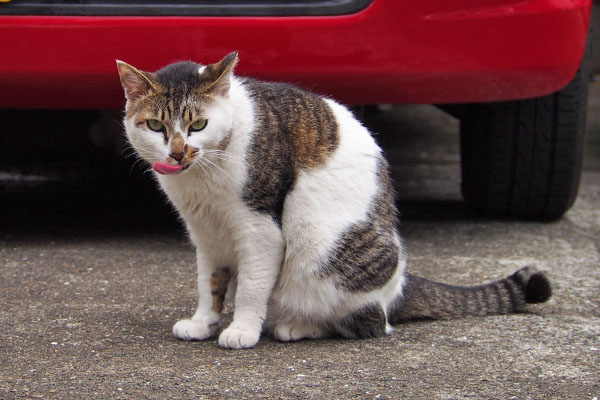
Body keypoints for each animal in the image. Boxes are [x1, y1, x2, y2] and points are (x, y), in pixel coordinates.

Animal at [115, 51, 552, 348]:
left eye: (198, 124)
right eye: (155, 125)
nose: (177, 153)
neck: (203, 174)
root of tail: (399, 285)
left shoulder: (259, 229)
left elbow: (252, 286)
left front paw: (241, 329)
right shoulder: (205, 233)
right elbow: (210, 283)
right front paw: (203, 322)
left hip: (323, 248)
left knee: (370, 323)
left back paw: (296, 326)